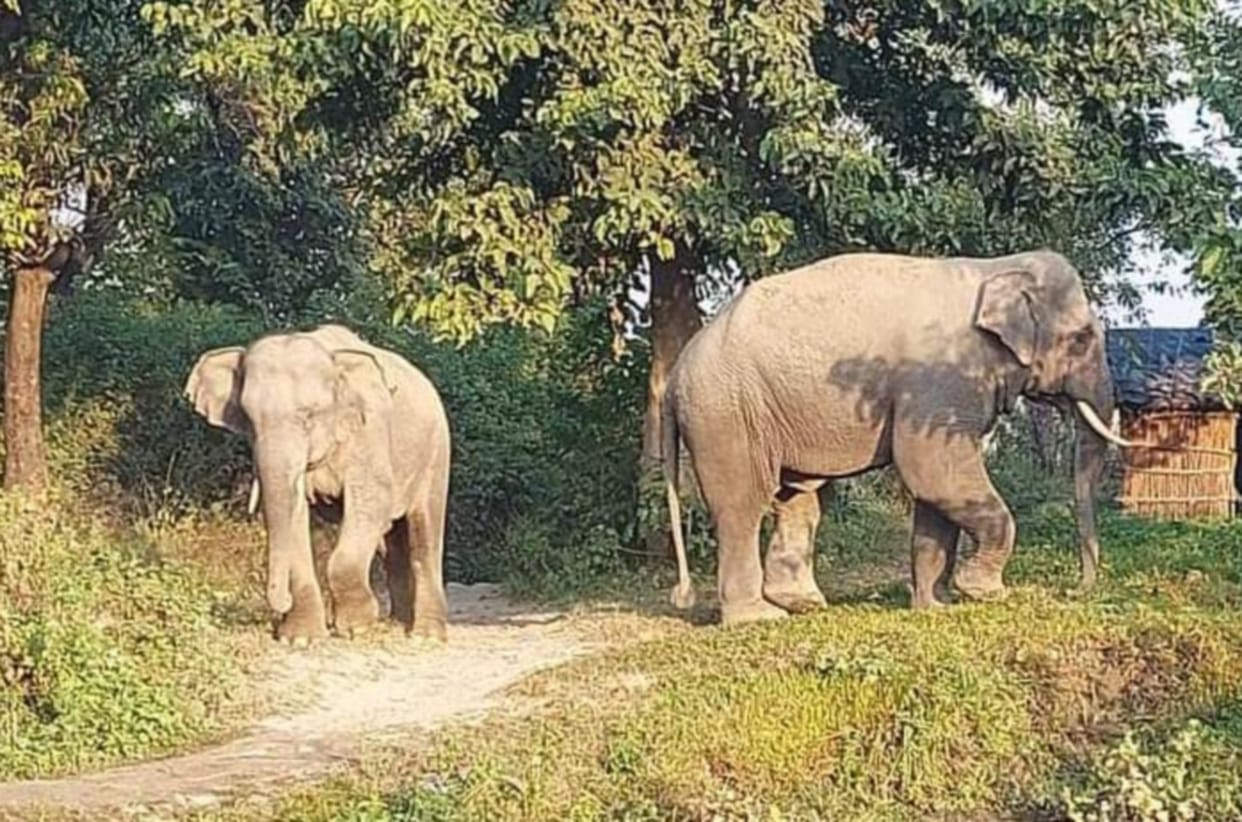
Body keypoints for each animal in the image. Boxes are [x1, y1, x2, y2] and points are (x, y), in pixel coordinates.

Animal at [185, 323, 451, 643]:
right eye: (248, 419)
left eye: (309, 416)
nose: (278, 610)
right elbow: (294, 514)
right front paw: (300, 638)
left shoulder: (368, 431)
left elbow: (371, 499)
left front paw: (358, 626)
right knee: (392, 539)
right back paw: (398, 623)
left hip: (436, 450)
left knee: (424, 532)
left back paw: (426, 635)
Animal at [660, 250, 1132, 626]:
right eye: (1082, 338)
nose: (1076, 589)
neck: (994, 267)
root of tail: (674, 375)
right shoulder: (938, 380)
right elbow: (933, 471)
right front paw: (985, 591)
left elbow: (935, 489)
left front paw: (935, 607)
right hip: (727, 414)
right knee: (742, 506)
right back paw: (758, 618)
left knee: (800, 498)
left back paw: (803, 604)